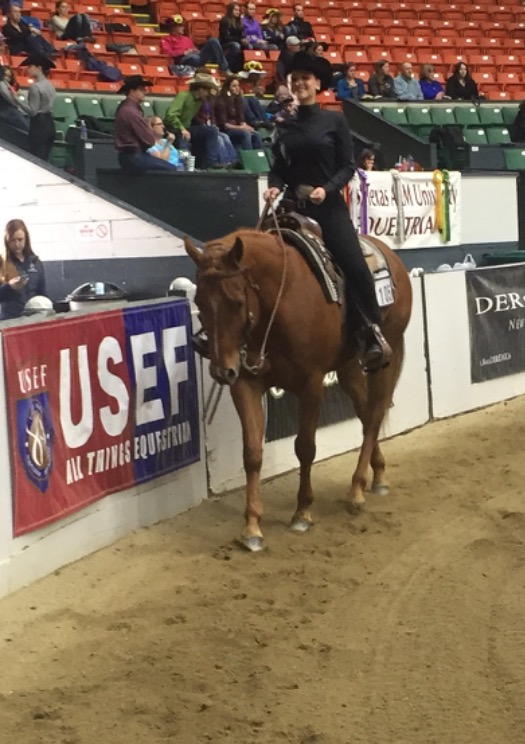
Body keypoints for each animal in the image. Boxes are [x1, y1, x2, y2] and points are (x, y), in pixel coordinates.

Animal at [186, 232, 412, 552]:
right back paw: (376, 473)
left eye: (237, 302)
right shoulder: (244, 384)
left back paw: (356, 488)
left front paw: (302, 512)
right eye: (199, 303)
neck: (277, 305)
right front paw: (252, 526)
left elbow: (305, 447)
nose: (221, 371)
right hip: (349, 368)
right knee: (367, 414)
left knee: (376, 413)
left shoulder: (311, 384)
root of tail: (390, 255)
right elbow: (252, 453)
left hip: (387, 354)